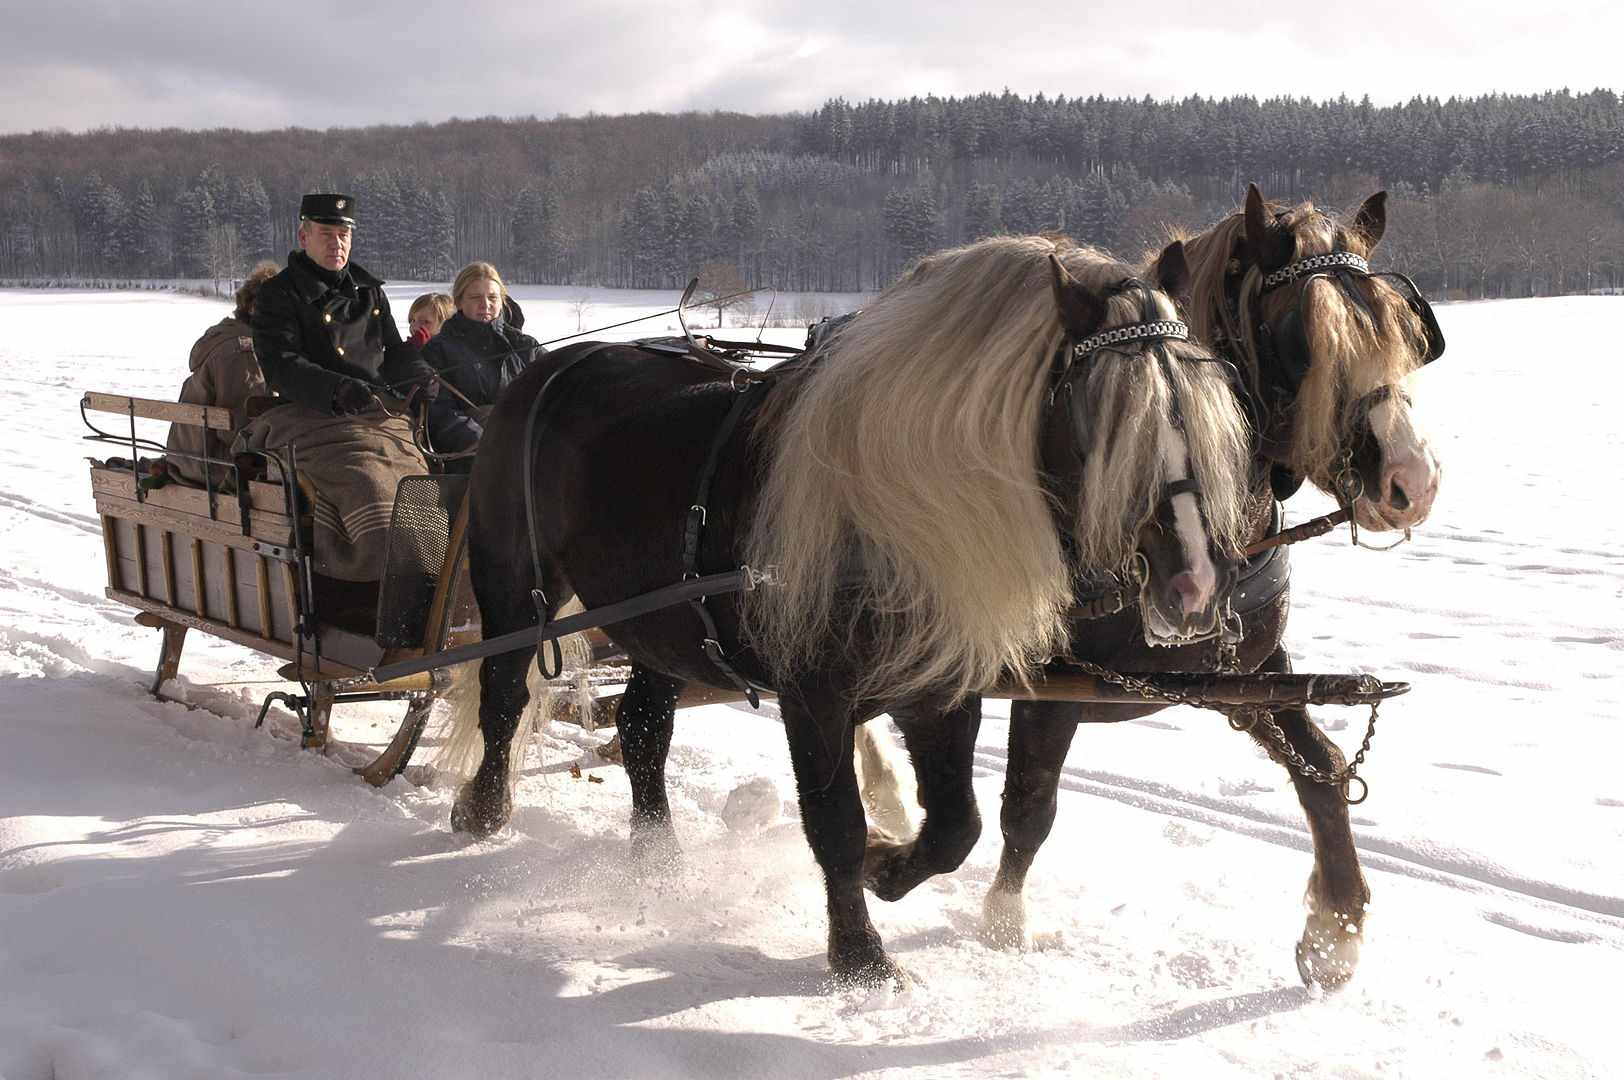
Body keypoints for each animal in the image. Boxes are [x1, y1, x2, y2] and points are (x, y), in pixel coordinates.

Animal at [451, 235, 1247, 987]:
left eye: (1205, 402)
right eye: (1104, 419)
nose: (1196, 585)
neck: (886, 513)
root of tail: (549, 369)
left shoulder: (938, 688)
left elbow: (956, 827)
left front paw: (886, 867)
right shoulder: (814, 694)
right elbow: (834, 821)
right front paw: (860, 956)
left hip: (667, 625)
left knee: (643, 727)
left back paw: (659, 862)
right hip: (513, 583)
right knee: (503, 691)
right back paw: (483, 808)